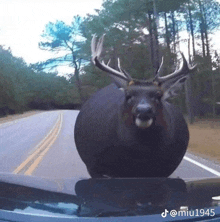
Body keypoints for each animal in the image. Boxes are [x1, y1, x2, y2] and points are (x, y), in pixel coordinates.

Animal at [74, 34, 196, 179]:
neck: (138, 158)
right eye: (128, 95)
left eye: (158, 95)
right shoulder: (95, 167)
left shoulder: (165, 169)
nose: (144, 110)